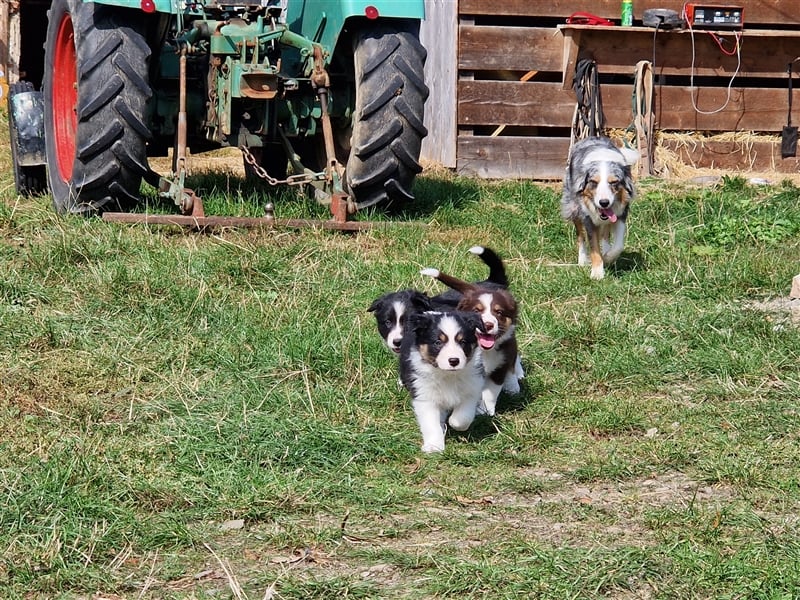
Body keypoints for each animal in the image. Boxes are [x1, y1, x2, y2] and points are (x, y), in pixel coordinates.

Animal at [398, 312, 482, 452]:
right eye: (438, 342)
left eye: (463, 342)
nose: (454, 361)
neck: (447, 375)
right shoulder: (424, 396)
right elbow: (431, 424)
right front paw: (434, 446)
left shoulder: (473, 387)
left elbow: (463, 418)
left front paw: (453, 422)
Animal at [422, 268, 520, 418]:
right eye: (476, 311)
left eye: (499, 312)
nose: (488, 324)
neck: (484, 351)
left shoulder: (499, 366)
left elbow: (491, 391)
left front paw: (485, 411)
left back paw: (513, 384)